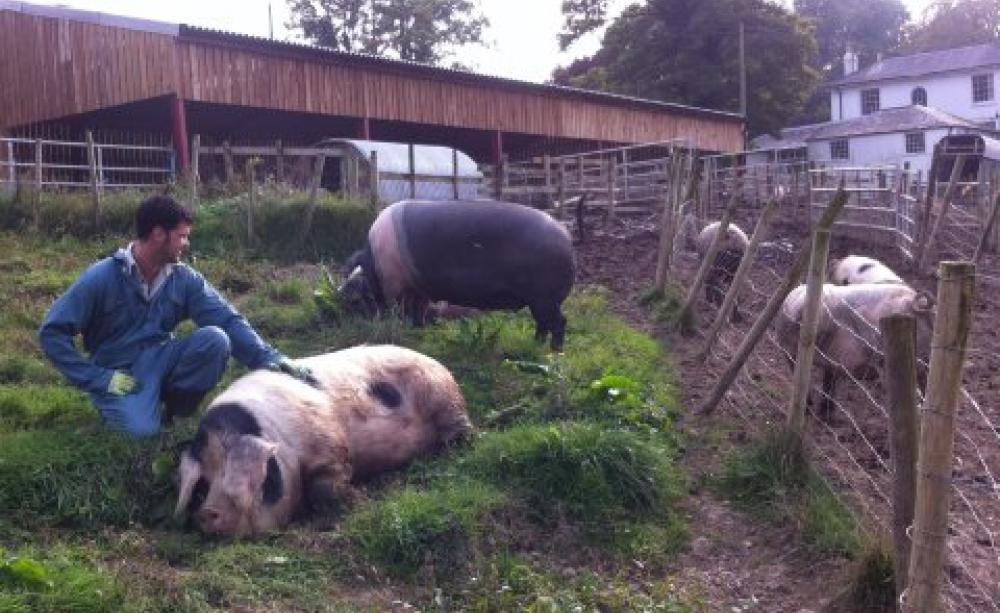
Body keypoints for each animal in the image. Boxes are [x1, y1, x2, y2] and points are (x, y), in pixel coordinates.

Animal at [174, 345, 472, 537]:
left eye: (229, 472)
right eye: (203, 484)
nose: (206, 512)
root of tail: (434, 360)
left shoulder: (327, 441)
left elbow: (326, 483)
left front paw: (358, 501)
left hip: (440, 395)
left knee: (459, 429)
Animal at [340, 199, 576, 350]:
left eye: (357, 297)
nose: (340, 295)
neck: (373, 262)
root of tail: (565, 236)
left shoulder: (396, 287)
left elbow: (399, 310)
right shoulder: (420, 289)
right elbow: (418, 310)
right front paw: (417, 331)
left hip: (545, 298)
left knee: (559, 322)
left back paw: (553, 351)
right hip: (541, 301)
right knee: (544, 323)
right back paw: (535, 345)